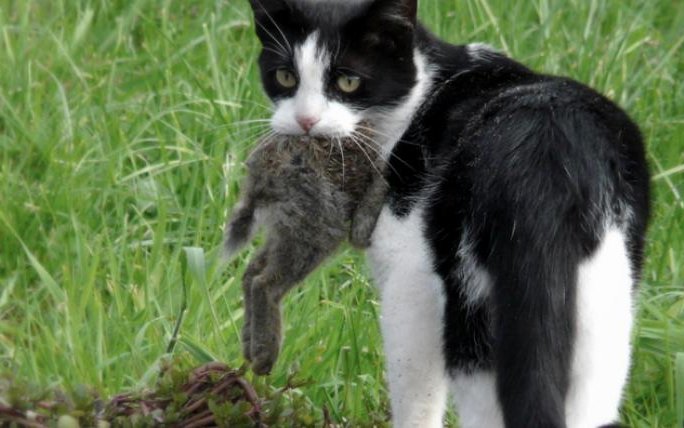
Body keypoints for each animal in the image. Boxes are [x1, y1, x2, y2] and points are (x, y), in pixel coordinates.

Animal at [224, 133, 384, 374]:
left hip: (287, 226)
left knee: (251, 273)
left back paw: (250, 348)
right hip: (316, 226)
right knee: (265, 284)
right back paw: (265, 357)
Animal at [244, 0, 648, 426]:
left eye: (348, 82)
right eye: (285, 76)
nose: (305, 121)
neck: (423, 91)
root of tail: (547, 154)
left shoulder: (408, 275)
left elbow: (416, 397)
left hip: (472, 311)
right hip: (604, 309)